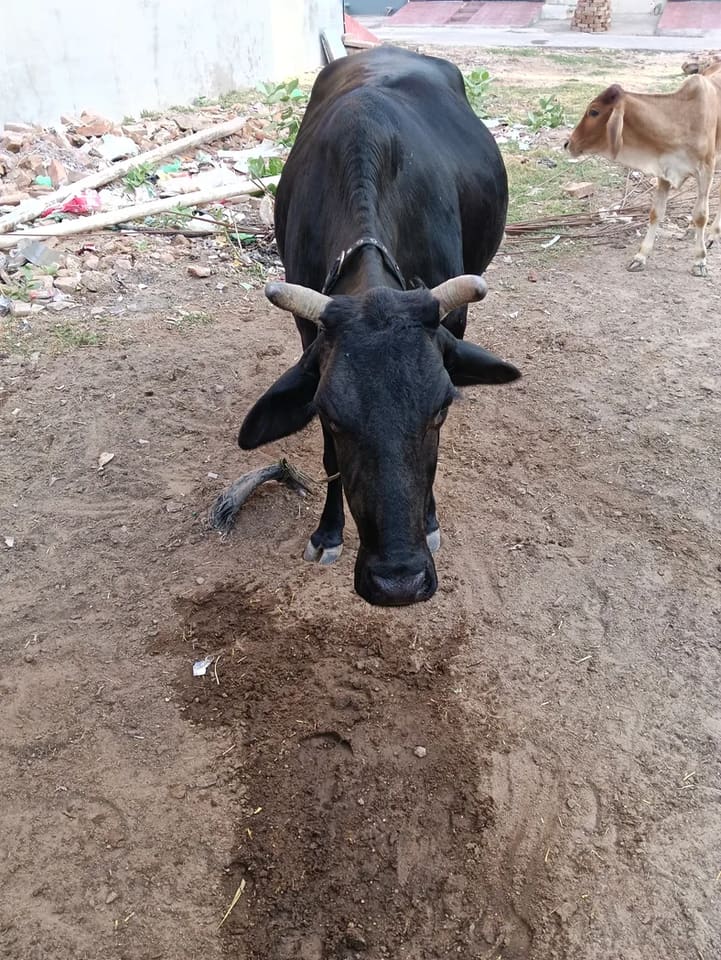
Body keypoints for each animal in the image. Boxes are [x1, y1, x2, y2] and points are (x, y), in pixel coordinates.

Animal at [228, 46, 520, 607]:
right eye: (331, 414)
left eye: (441, 409)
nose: (398, 581)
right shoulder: (308, 339)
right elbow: (328, 457)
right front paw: (327, 533)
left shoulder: (453, 324)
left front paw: (430, 520)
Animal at [565, 62, 721, 276]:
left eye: (594, 111)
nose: (568, 143)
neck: (681, 117)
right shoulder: (665, 170)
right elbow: (656, 213)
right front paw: (641, 256)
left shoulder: (706, 170)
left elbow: (701, 215)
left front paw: (699, 260)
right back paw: (690, 230)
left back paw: (713, 234)